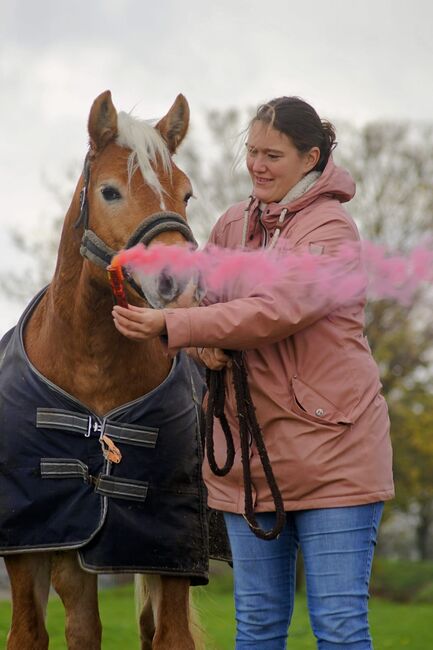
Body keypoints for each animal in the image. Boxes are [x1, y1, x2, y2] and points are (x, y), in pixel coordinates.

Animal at [0, 91, 208, 648]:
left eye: (186, 193)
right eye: (110, 191)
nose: (180, 283)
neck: (90, 366)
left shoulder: (168, 549)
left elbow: (170, 636)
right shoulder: (32, 542)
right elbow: (31, 634)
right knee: (83, 626)